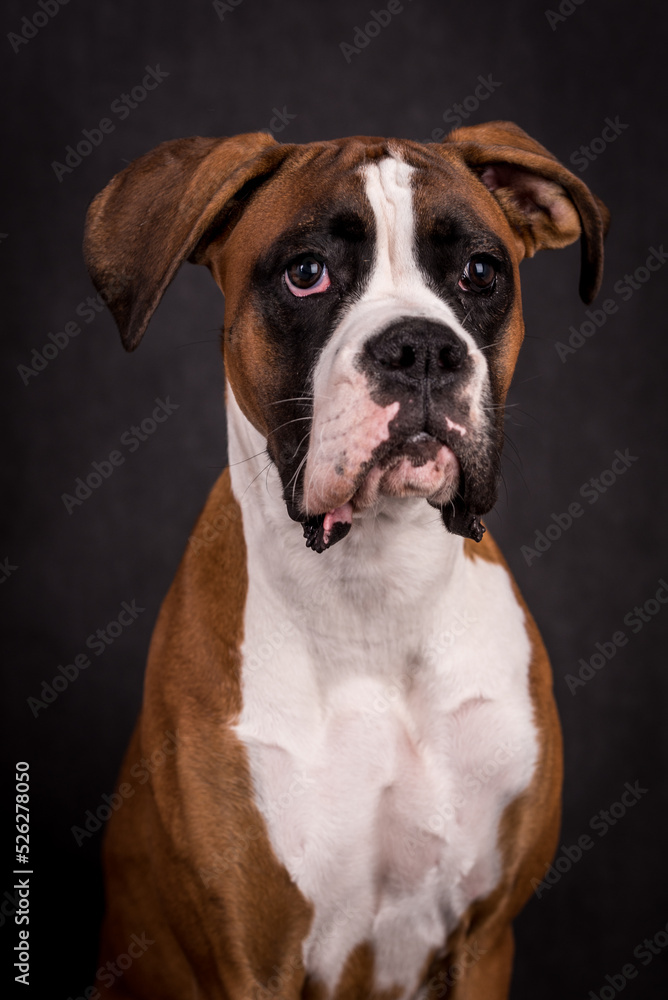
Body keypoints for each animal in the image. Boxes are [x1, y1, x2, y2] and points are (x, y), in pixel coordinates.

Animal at [83, 125, 604, 1000]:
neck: (374, 596)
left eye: (480, 273)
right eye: (307, 273)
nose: (421, 348)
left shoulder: (483, 939)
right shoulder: (252, 963)